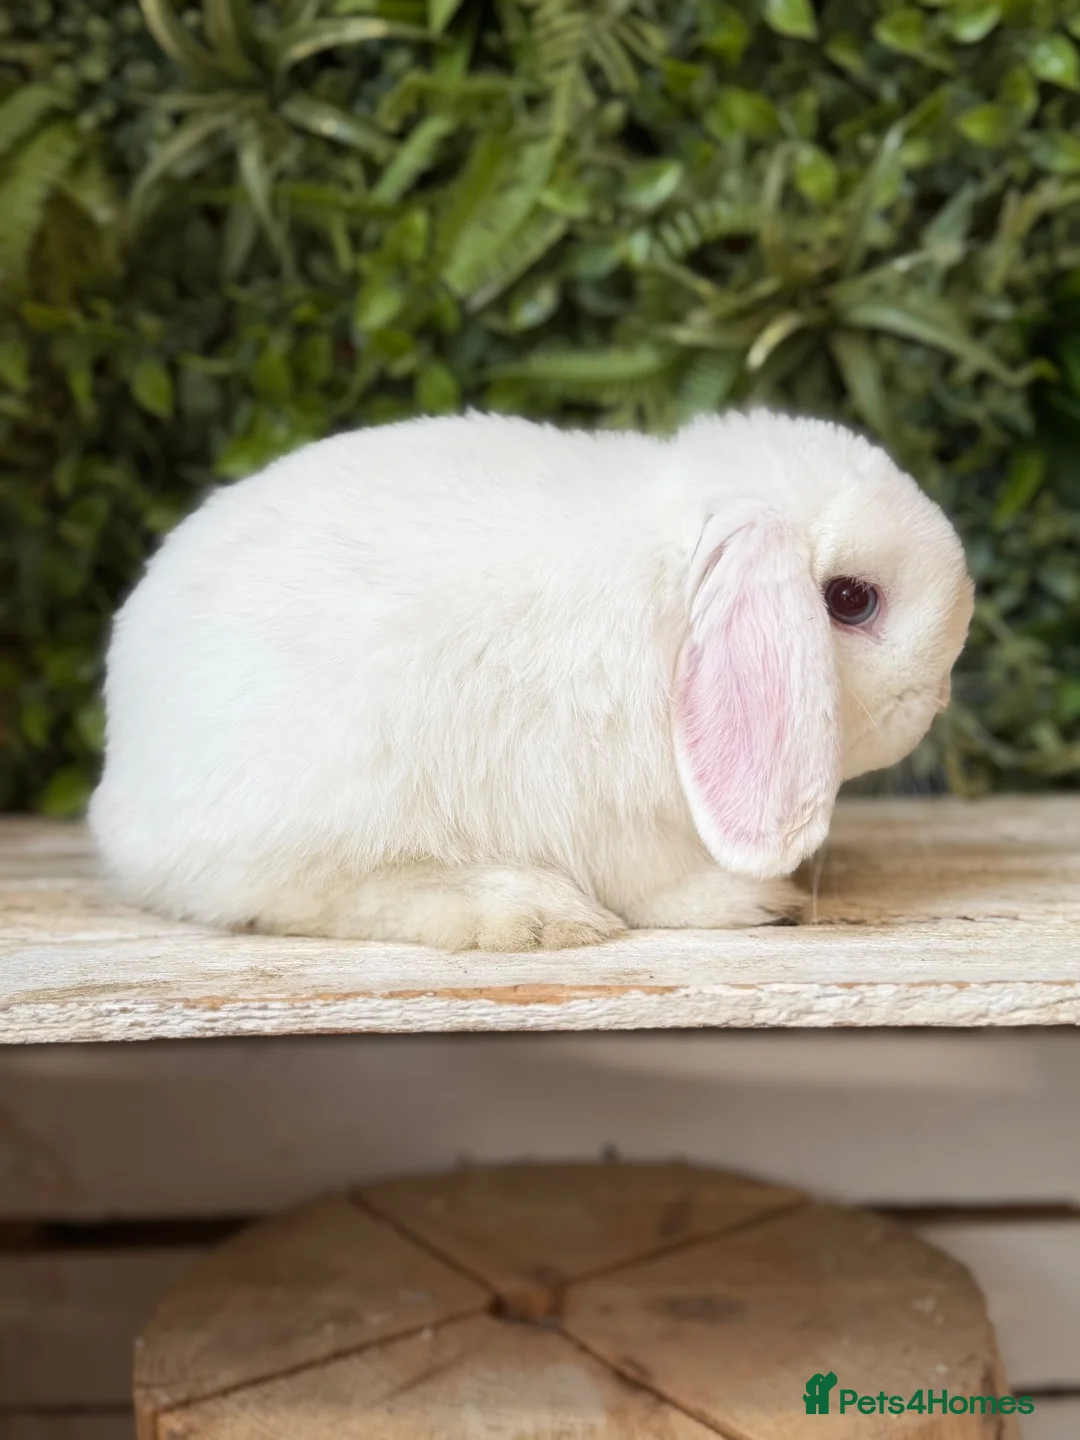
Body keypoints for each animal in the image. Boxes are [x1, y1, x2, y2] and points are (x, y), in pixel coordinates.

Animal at [89, 408, 975, 951]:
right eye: (851, 601)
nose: (935, 698)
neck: (675, 598)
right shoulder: (619, 812)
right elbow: (661, 886)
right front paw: (751, 902)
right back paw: (524, 912)